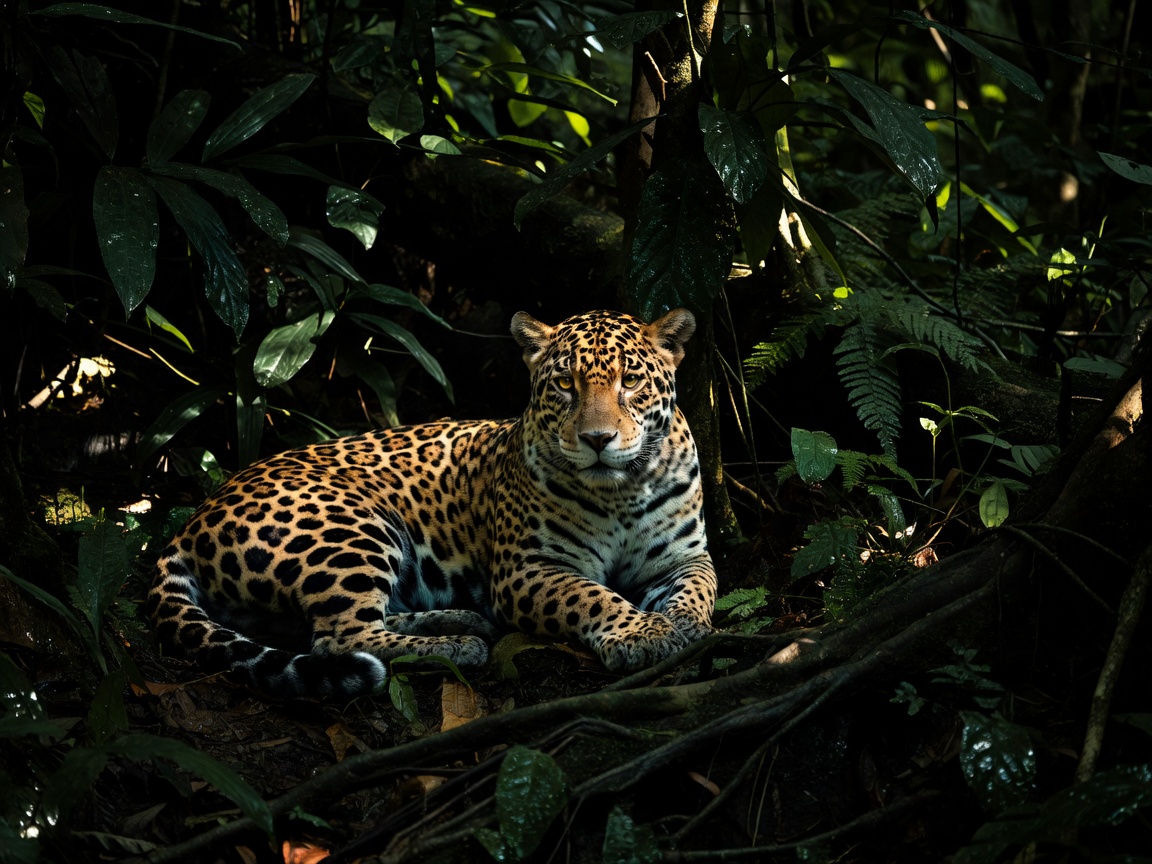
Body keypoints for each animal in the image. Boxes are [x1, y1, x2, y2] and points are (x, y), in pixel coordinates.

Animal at [146, 308, 717, 699]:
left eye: (631, 382)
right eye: (563, 384)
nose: (597, 439)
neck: (621, 490)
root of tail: (190, 523)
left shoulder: (685, 556)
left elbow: (699, 588)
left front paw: (686, 624)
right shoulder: (529, 569)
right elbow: (591, 596)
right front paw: (643, 632)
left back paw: (461, 621)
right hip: (349, 525)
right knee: (339, 638)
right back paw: (457, 648)